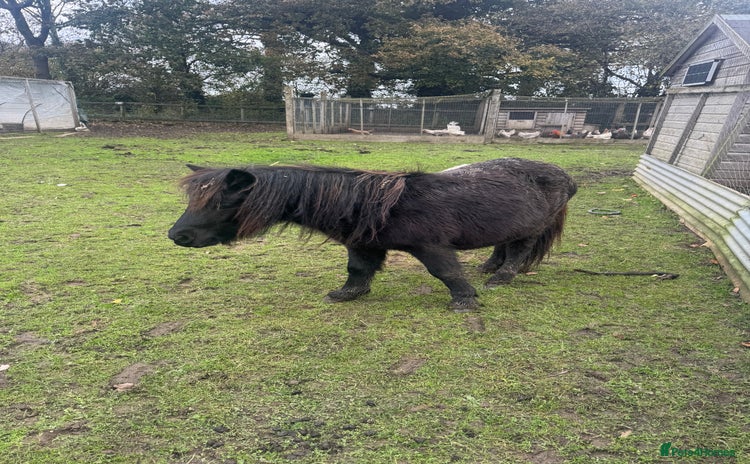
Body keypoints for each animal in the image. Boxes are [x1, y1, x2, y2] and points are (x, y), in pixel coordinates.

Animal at [168, 158, 577, 311]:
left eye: (221, 203)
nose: (176, 236)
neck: (375, 204)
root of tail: (567, 178)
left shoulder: (432, 246)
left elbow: (446, 272)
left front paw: (465, 301)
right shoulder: (363, 244)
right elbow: (357, 271)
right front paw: (347, 295)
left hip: (531, 228)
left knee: (519, 251)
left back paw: (501, 278)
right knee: (503, 245)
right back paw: (489, 268)